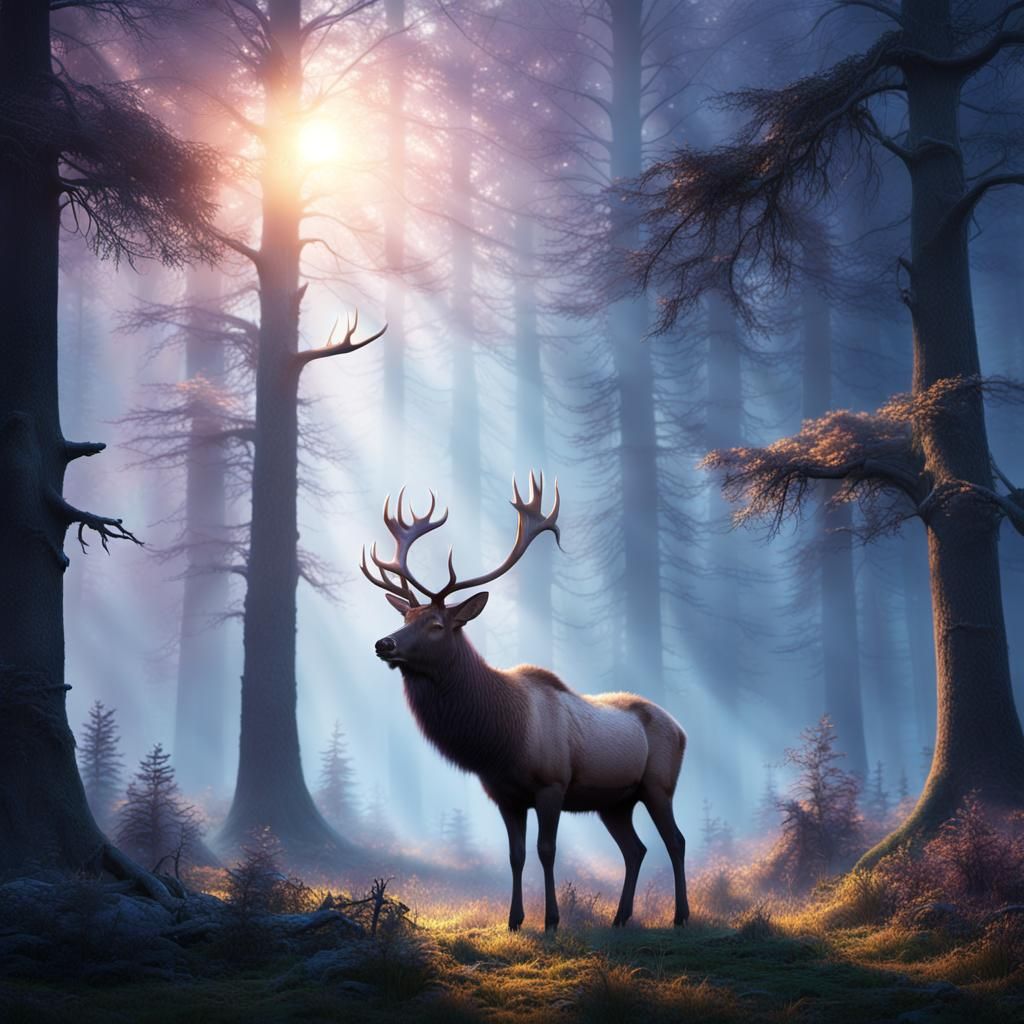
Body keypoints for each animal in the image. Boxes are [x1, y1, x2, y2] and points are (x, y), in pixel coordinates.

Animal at [361, 473, 689, 932]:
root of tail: (681, 729)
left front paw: (551, 920)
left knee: (675, 840)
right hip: (615, 802)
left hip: (659, 784)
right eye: (405, 617)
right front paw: (514, 920)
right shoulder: (504, 795)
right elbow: (515, 856)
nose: (383, 643)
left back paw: (681, 916)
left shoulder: (552, 784)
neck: (502, 742)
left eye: (437, 624)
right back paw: (621, 918)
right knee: (635, 849)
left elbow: (546, 852)